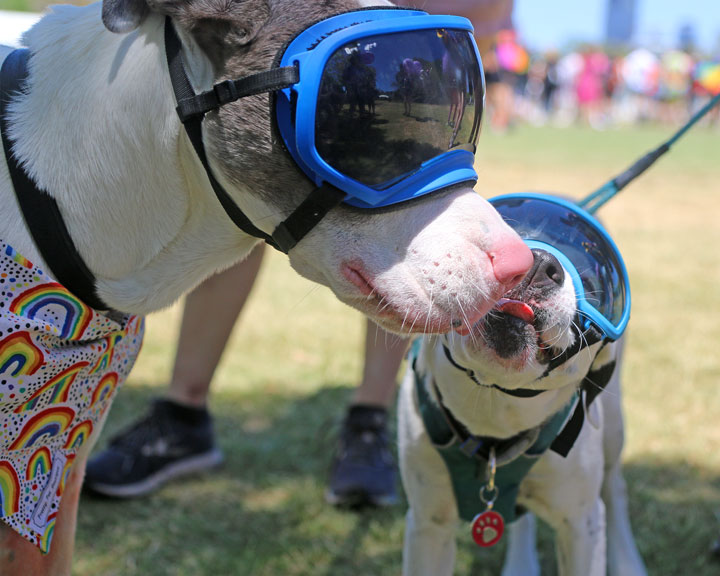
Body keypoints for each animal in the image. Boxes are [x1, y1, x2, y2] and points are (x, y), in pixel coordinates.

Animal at [400, 244, 648, 576]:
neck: (494, 417)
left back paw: (628, 562)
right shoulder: (428, 525)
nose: (540, 262)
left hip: (612, 428)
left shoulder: (582, 526)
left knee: (615, 488)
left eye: (589, 281)